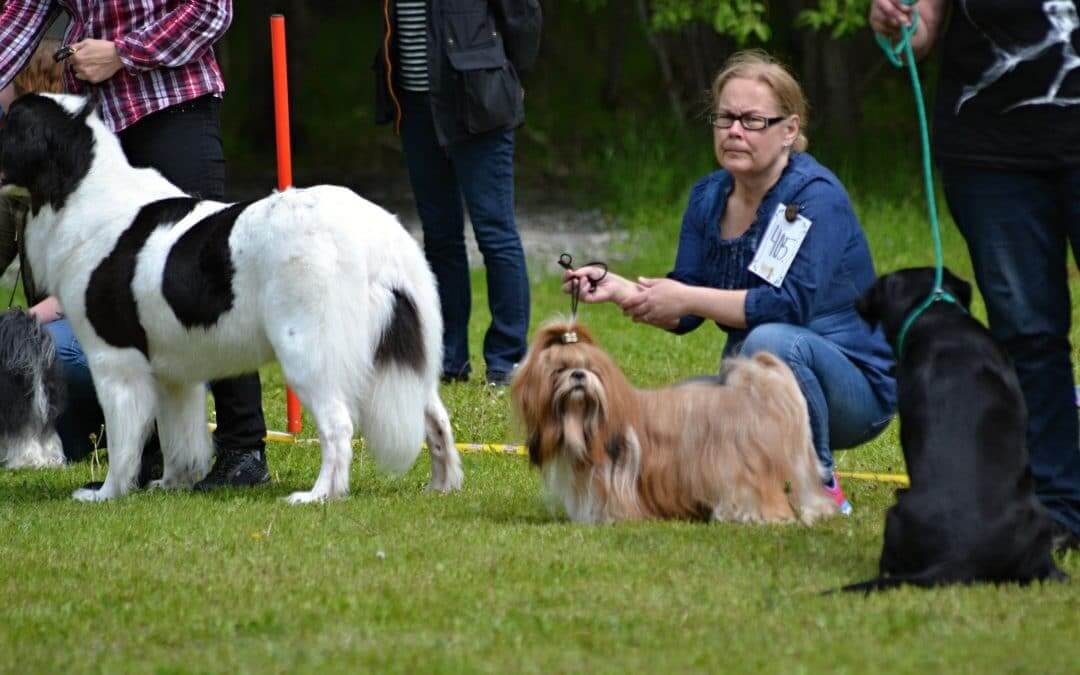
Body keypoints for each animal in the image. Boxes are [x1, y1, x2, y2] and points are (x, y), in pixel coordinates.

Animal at [0, 306, 65, 468]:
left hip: (16, 405)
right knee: (47, 433)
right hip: (45, 400)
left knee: (23, 434)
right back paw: (51, 460)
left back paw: (27, 462)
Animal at [509, 321, 838, 527]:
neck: (586, 422)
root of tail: (757, 392)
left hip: (745, 471)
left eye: (591, 369)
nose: (578, 375)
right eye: (560, 370)